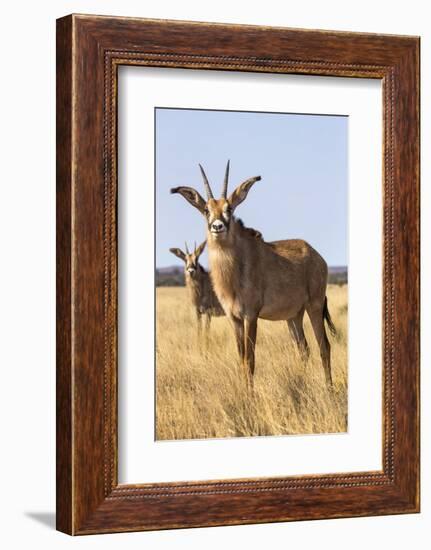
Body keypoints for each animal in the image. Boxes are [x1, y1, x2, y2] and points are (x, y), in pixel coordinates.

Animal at [171, 162, 338, 388]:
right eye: (206, 210)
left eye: (229, 208)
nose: (217, 226)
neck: (235, 269)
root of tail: (316, 255)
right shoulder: (234, 318)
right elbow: (241, 358)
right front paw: (244, 391)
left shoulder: (250, 315)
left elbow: (250, 359)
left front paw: (250, 394)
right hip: (294, 316)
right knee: (303, 349)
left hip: (315, 306)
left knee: (324, 346)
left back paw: (329, 389)